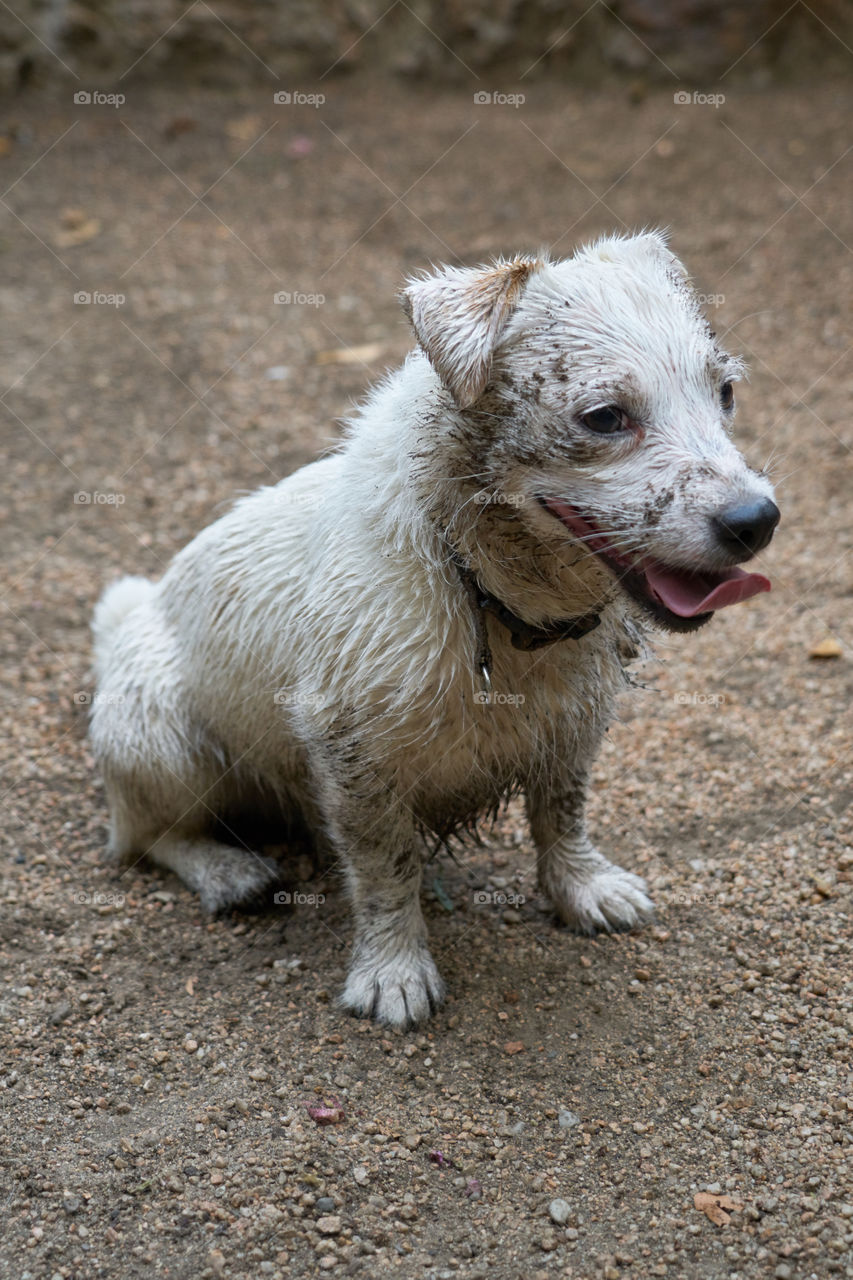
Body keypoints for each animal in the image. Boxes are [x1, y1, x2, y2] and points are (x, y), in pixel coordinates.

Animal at [91, 232, 778, 1029]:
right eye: (605, 417)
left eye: (724, 393)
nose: (756, 521)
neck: (481, 584)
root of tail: (129, 619)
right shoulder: (352, 755)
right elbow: (386, 866)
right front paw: (394, 969)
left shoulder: (573, 724)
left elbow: (562, 813)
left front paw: (581, 887)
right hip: (157, 739)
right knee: (146, 836)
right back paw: (225, 869)